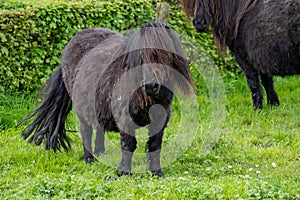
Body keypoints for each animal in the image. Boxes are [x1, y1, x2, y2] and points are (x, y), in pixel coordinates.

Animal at [21, 21, 195, 177]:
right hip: (82, 110)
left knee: (99, 128)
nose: (151, 86)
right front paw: (123, 173)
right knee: (86, 132)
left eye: (165, 56)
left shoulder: (160, 119)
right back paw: (89, 159)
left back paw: (100, 153)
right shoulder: (125, 118)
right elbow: (129, 145)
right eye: (140, 57)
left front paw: (157, 173)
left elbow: (154, 145)